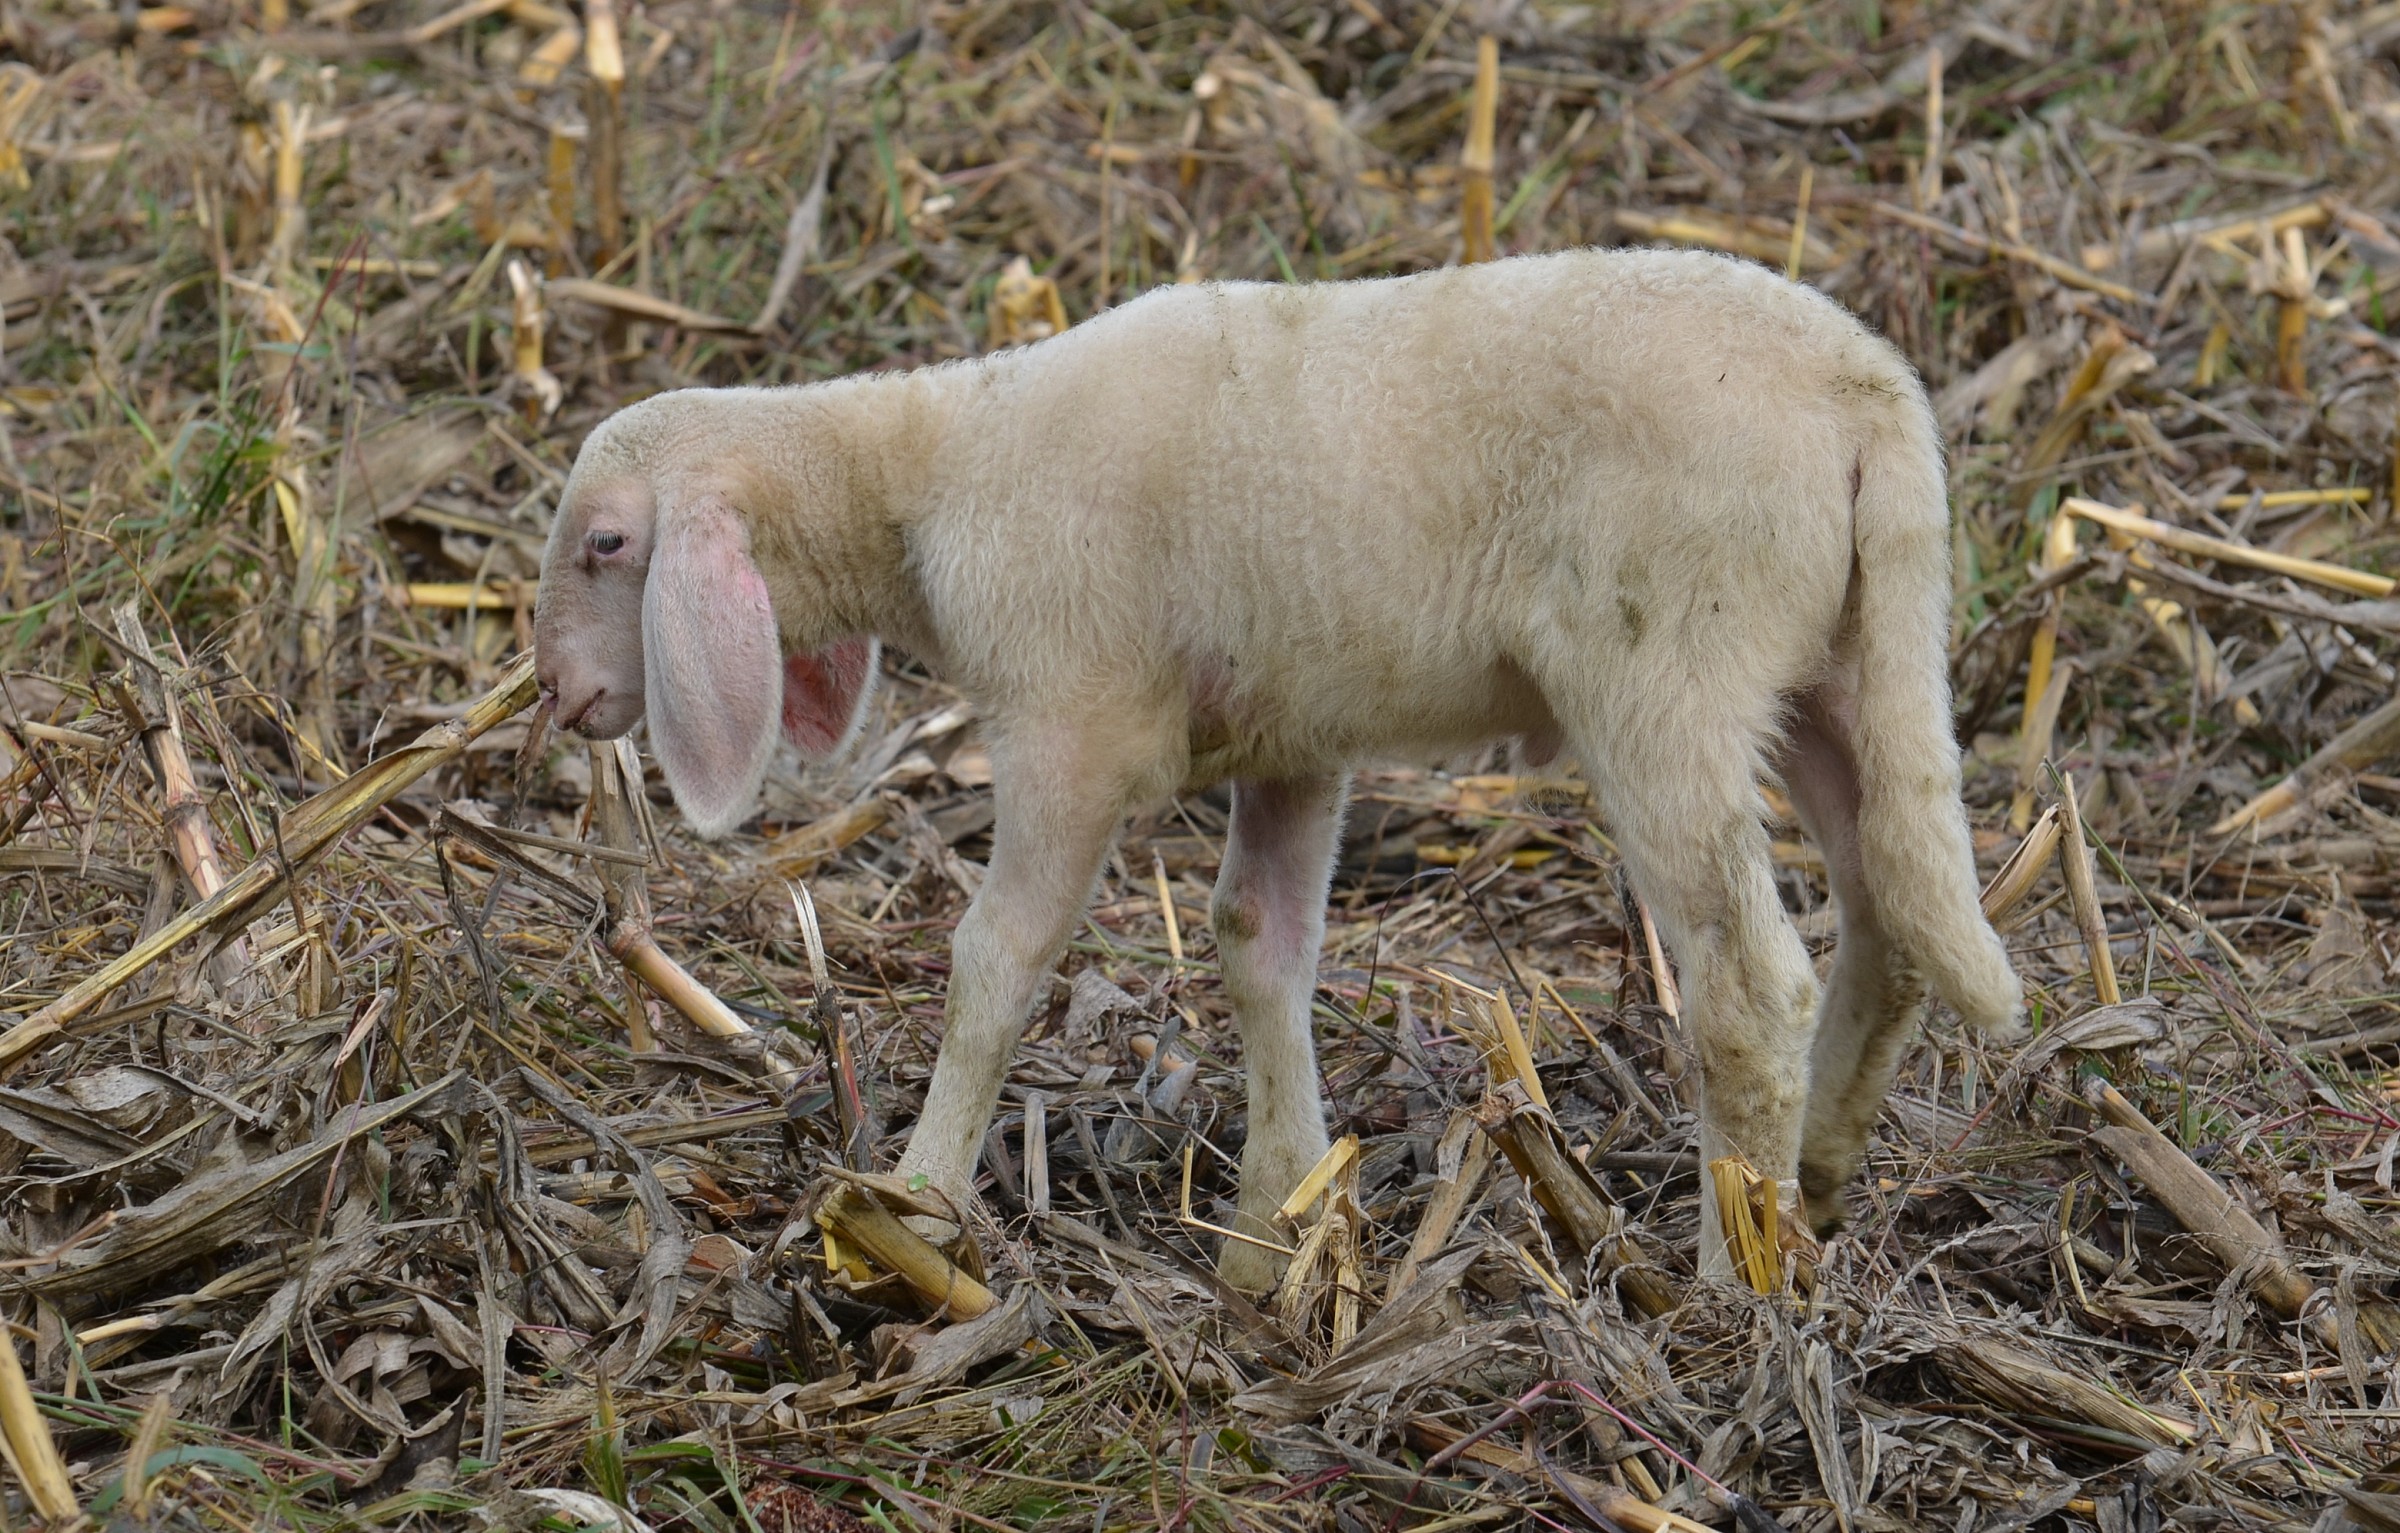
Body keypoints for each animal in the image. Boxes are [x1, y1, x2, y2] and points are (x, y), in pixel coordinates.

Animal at [532, 246, 2022, 1289]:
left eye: (607, 544)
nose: (555, 693)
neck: (929, 474)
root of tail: (1871, 400)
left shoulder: (1070, 721)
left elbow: (998, 963)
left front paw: (918, 1202)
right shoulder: (1295, 732)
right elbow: (1263, 948)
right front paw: (1278, 1221)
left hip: (1672, 668)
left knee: (1749, 981)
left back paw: (1734, 1278)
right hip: (1846, 659)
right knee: (1892, 903)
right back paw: (1816, 1182)